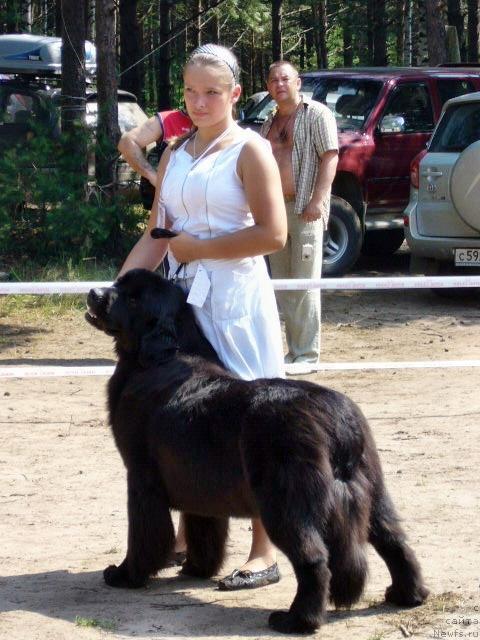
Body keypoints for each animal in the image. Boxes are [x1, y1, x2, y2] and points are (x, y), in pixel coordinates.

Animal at [85, 268, 428, 632]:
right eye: (119, 283)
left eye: (133, 298)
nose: (93, 292)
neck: (160, 357)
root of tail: (337, 422)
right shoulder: (199, 481)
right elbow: (203, 528)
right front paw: (196, 569)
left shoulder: (141, 477)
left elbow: (144, 533)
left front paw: (126, 574)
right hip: (372, 490)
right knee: (396, 541)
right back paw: (407, 595)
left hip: (285, 501)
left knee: (314, 558)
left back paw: (296, 619)